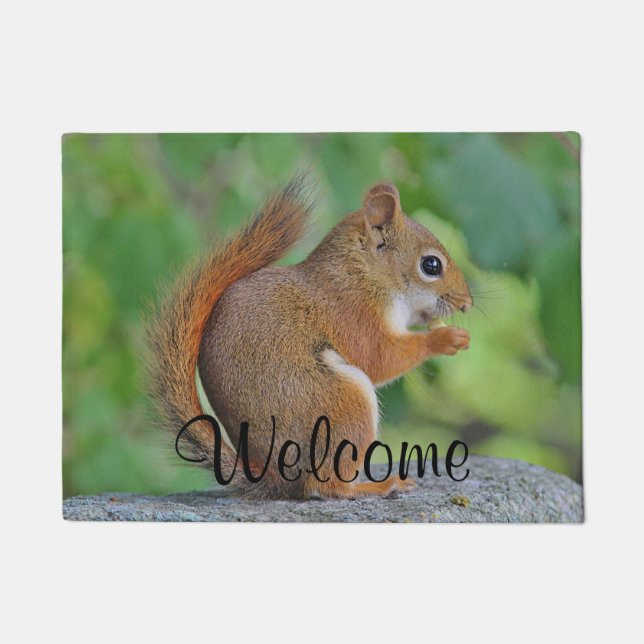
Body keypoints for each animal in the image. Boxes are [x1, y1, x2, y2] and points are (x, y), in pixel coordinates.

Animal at [146, 175, 472, 499]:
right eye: (431, 265)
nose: (467, 304)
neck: (362, 274)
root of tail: (276, 476)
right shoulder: (353, 315)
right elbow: (378, 357)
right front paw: (446, 338)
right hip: (343, 404)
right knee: (327, 485)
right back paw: (377, 485)